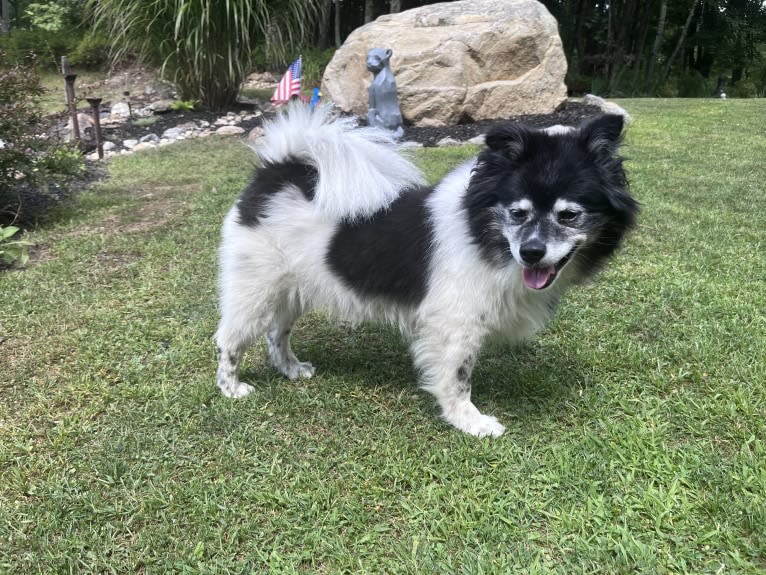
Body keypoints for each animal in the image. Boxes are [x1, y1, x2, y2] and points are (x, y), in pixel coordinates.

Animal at [214, 106, 636, 436]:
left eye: (569, 215)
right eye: (517, 213)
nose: (531, 253)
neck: (481, 231)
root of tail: (278, 169)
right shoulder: (454, 325)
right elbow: (458, 378)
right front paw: (470, 422)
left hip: (291, 290)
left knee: (277, 333)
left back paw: (290, 369)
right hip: (255, 291)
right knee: (230, 340)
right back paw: (230, 388)